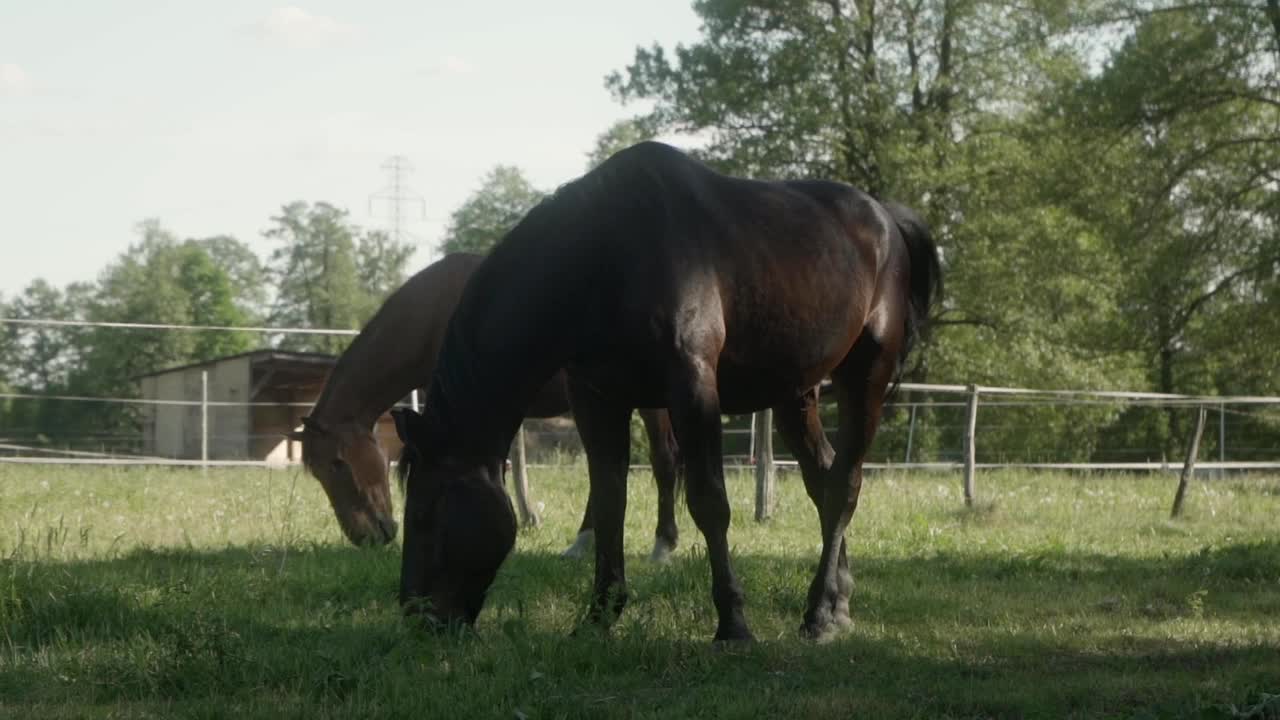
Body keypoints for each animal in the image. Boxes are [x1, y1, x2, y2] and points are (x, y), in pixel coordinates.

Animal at [293, 252, 691, 561]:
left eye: (337, 463)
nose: (368, 538)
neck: (435, 316)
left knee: (663, 460)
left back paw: (662, 546)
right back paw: (582, 543)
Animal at [389, 140, 942, 638]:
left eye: (424, 513)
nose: (416, 615)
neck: (604, 257)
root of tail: (886, 219)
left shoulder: (691, 388)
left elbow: (708, 500)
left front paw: (733, 623)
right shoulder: (596, 398)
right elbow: (609, 500)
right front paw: (598, 616)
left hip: (865, 376)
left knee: (844, 484)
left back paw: (820, 614)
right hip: (794, 392)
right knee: (823, 480)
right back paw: (837, 603)